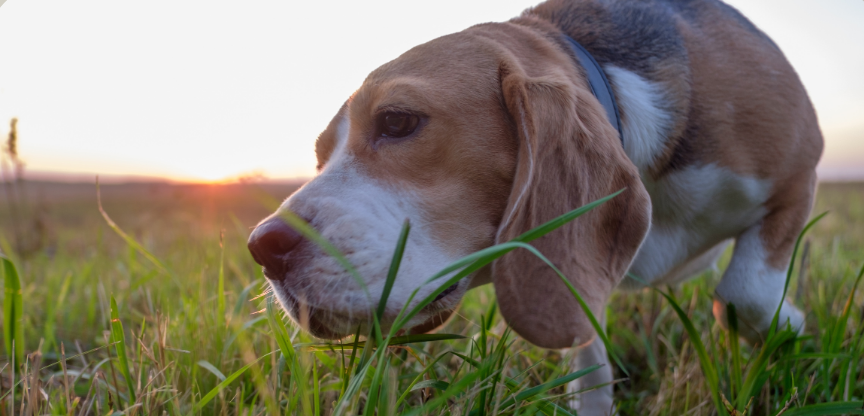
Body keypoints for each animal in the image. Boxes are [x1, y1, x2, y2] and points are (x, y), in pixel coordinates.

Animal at [246, 0, 820, 412]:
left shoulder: (800, 172)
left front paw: (791, 328)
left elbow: (744, 293)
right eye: (320, 156)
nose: (263, 247)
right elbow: (588, 355)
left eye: (397, 121)